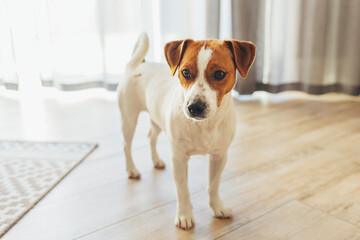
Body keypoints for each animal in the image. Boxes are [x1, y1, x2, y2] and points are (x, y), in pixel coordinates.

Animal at [116, 32, 255, 230]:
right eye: (185, 72)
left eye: (219, 74)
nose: (194, 107)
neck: (205, 125)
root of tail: (137, 64)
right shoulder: (179, 158)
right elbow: (182, 190)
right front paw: (184, 216)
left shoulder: (220, 156)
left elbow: (213, 186)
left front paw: (217, 208)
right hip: (129, 118)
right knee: (126, 145)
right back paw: (131, 170)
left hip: (157, 119)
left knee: (151, 136)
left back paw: (156, 160)